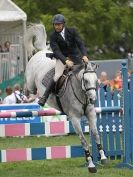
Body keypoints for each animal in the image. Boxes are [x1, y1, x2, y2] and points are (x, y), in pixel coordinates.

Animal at [24, 23, 107, 173]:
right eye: (86, 81)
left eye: (96, 80)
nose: (93, 99)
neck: (82, 94)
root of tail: (42, 52)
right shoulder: (74, 118)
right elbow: (83, 140)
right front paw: (91, 165)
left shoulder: (91, 114)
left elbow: (96, 134)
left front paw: (103, 158)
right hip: (31, 82)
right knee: (29, 88)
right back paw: (32, 97)